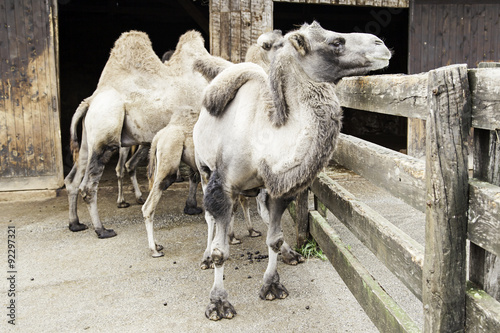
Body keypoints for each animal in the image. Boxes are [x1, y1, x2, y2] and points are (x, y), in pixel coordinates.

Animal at [63, 29, 212, 237]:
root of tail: (89, 101)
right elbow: (195, 173)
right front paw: (192, 206)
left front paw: (191, 206)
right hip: (105, 132)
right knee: (88, 186)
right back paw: (102, 230)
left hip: (88, 141)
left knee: (72, 180)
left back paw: (75, 223)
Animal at [193, 21, 392, 320]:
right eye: (336, 42)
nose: (382, 44)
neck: (264, 136)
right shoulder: (223, 185)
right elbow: (220, 252)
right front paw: (218, 303)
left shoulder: (279, 186)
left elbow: (274, 238)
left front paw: (272, 286)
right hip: (203, 168)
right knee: (209, 217)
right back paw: (207, 255)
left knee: (255, 210)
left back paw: (278, 250)